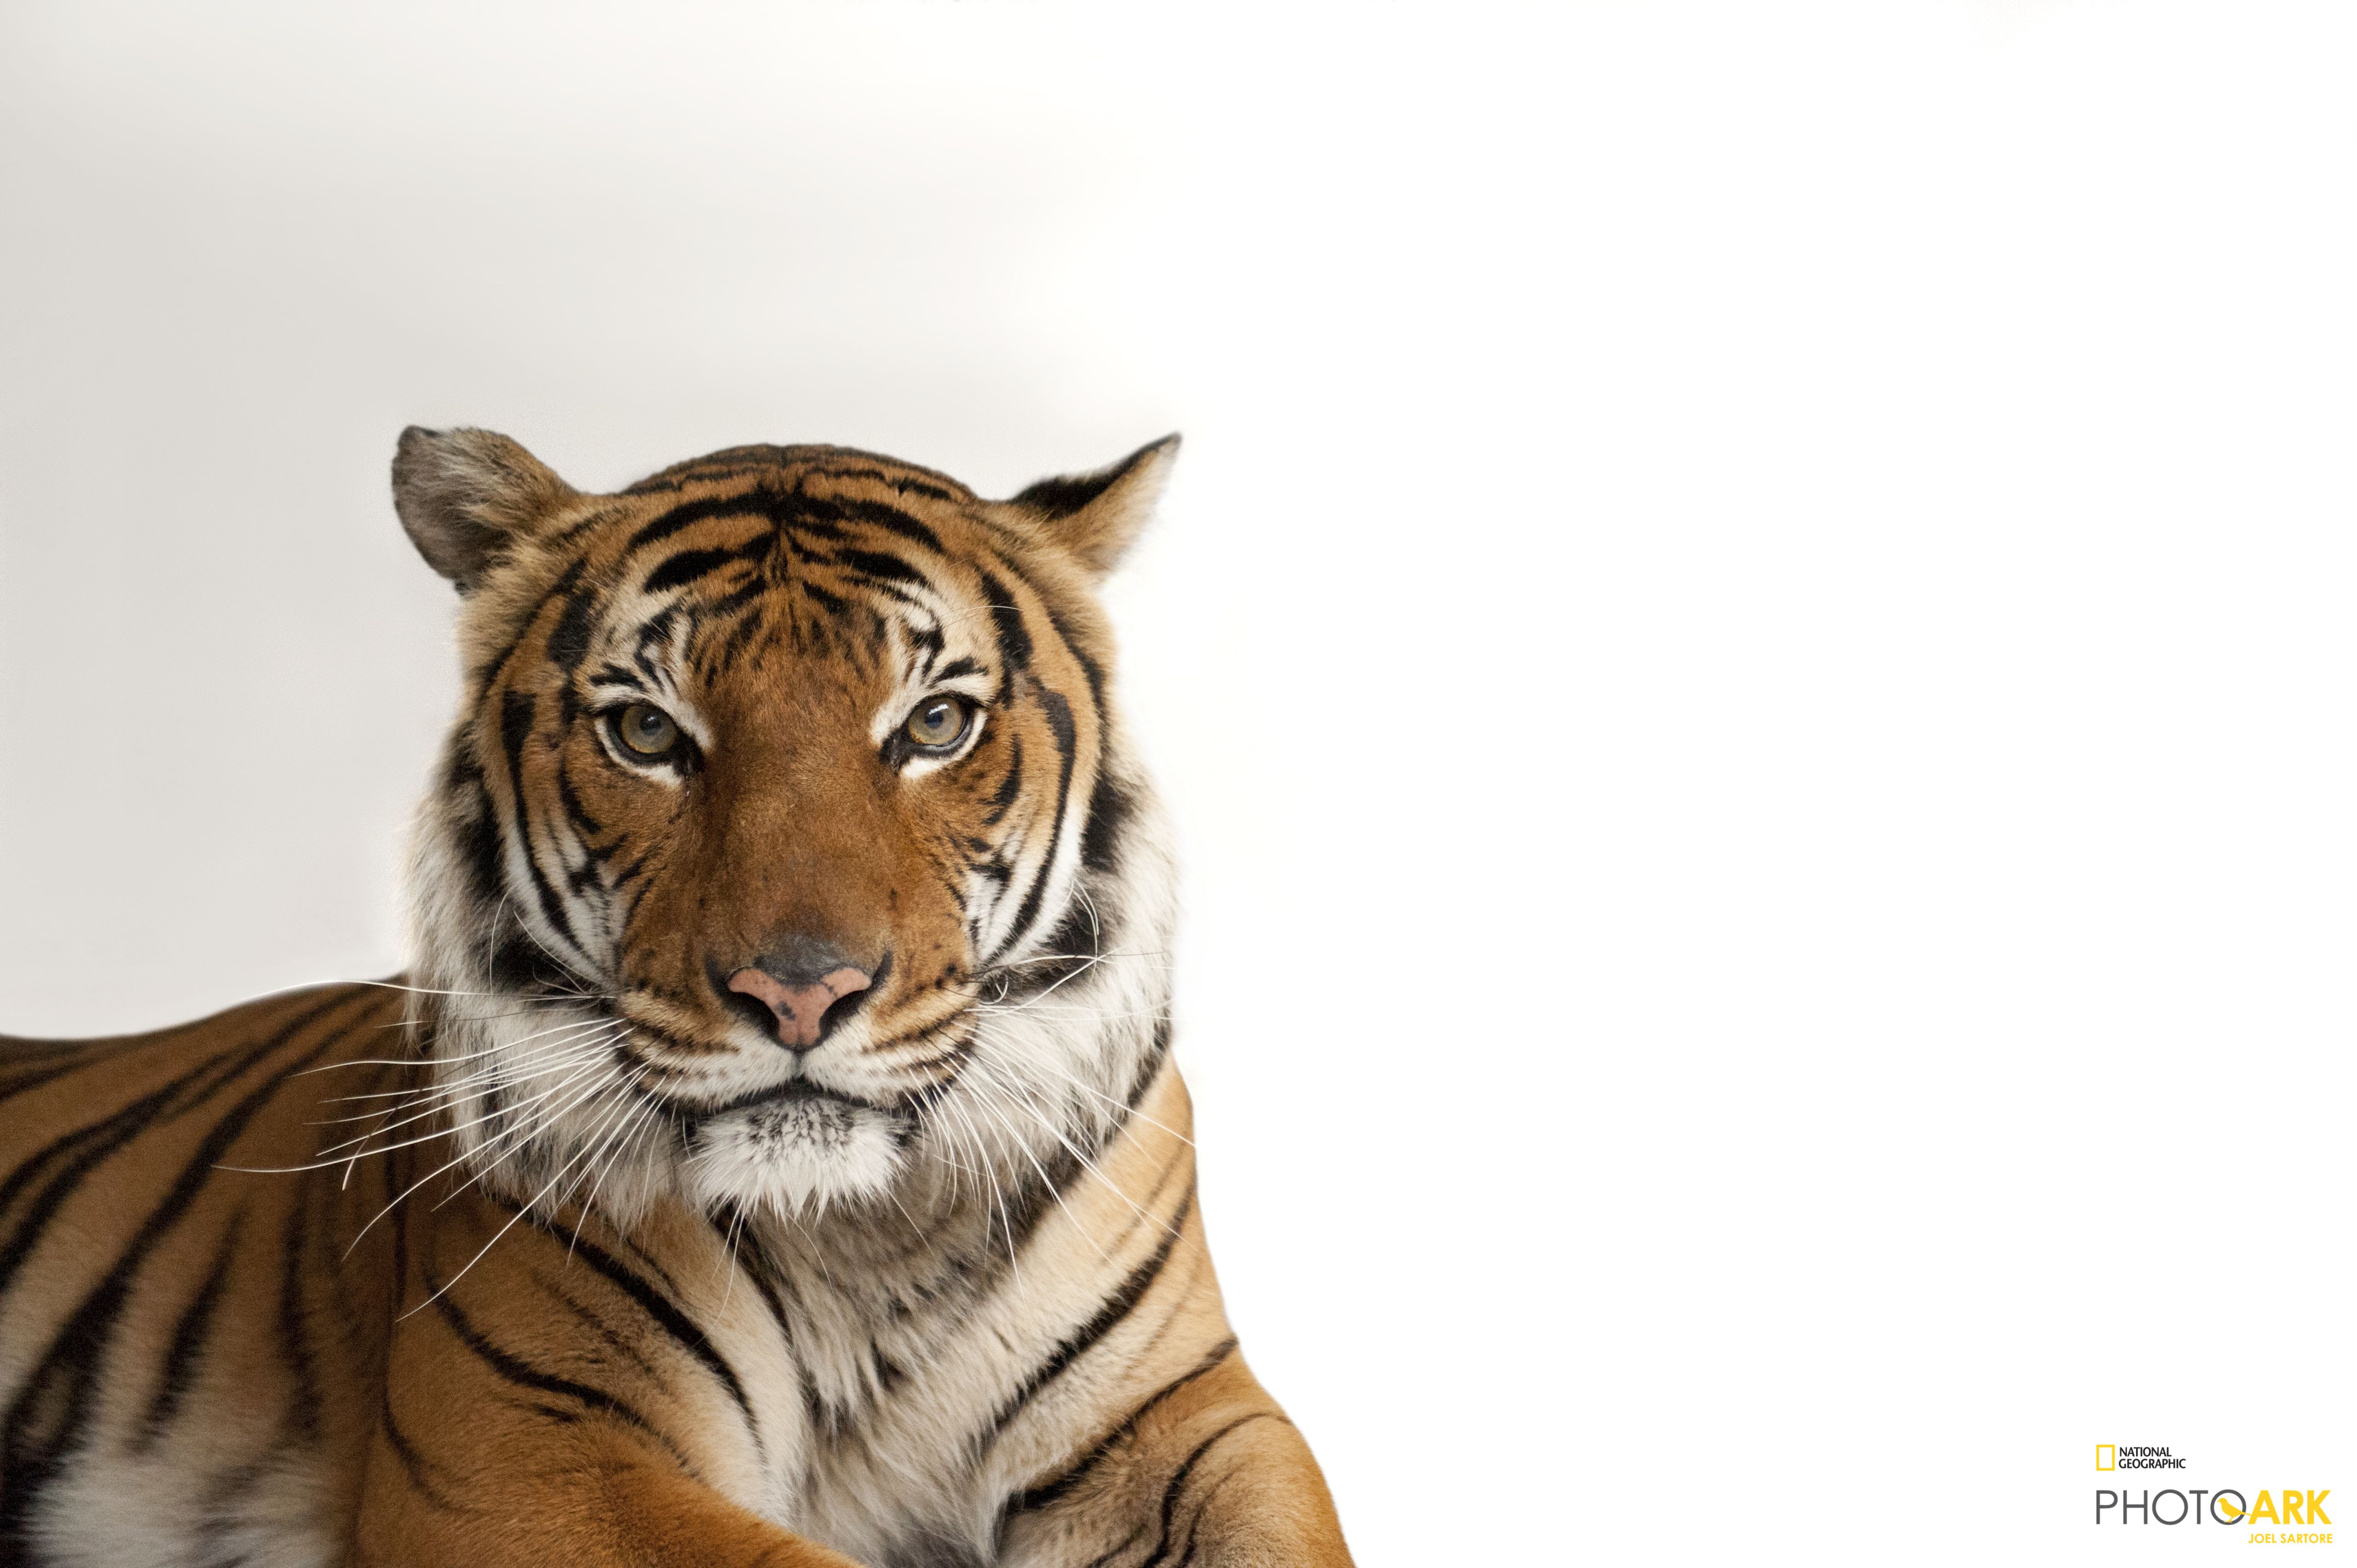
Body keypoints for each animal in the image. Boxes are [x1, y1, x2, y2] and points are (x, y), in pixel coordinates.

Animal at [0, 429, 1354, 1568]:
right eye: (648, 732)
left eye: (935, 722)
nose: (801, 992)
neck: (859, 1231)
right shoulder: (535, 1444)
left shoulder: (1186, 1412)